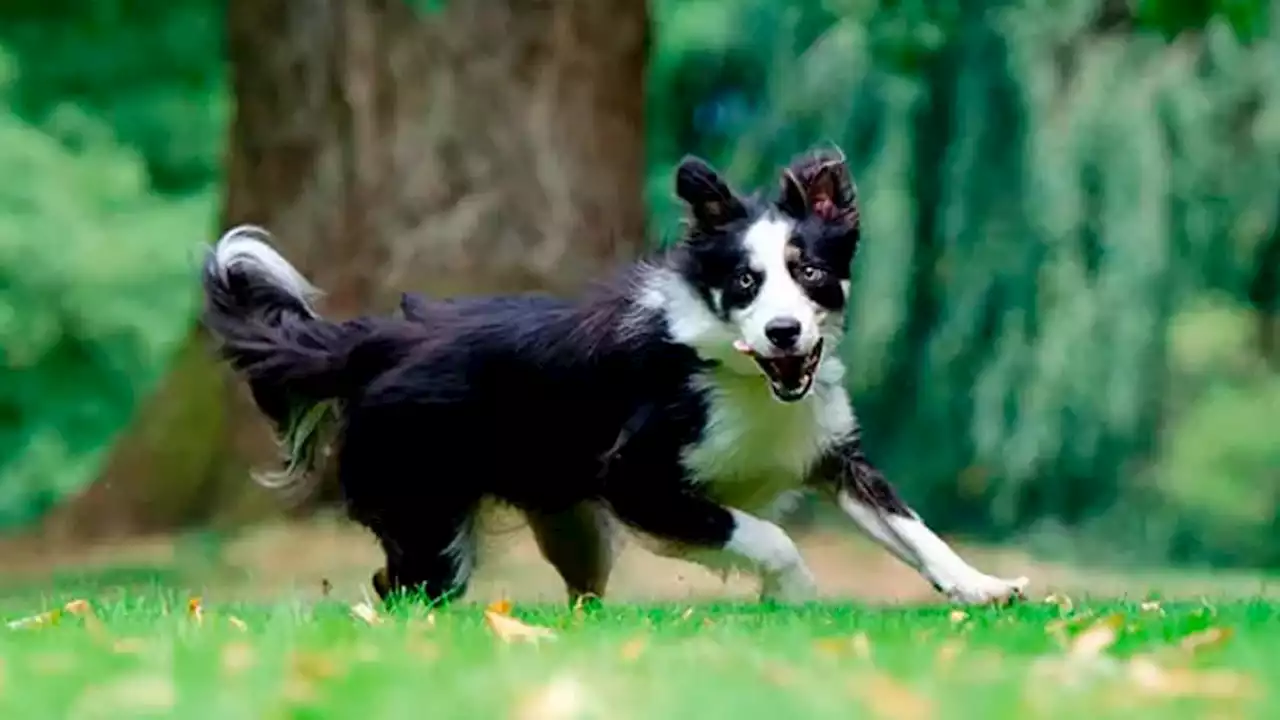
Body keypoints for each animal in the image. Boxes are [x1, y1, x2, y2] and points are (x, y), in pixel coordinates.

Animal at [207, 148, 1029, 602]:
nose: (785, 332)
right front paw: (794, 596)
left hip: (566, 523)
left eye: (811, 274)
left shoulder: (828, 450)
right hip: (425, 511)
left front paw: (985, 588)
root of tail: (379, 339)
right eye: (745, 283)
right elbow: (765, 535)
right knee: (398, 587)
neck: (740, 374)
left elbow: (912, 527)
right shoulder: (638, 477)